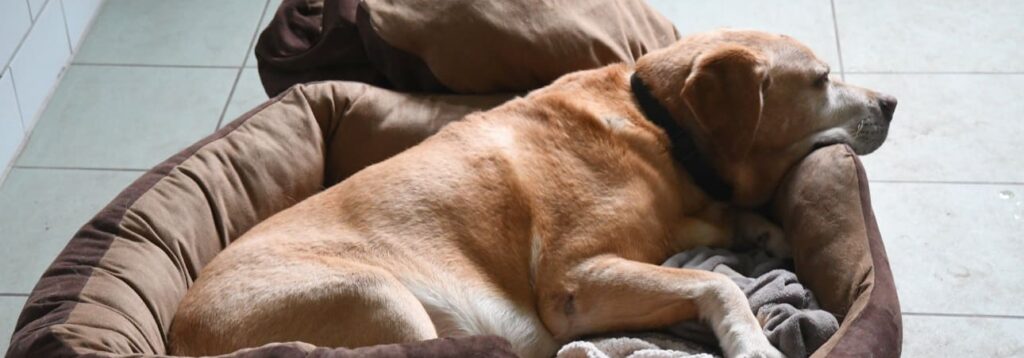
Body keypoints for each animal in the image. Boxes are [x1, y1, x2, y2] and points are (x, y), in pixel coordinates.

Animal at [169, 30, 897, 358]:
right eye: (821, 79)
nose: (891, 102)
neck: (659, 124)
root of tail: (175, 339)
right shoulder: (576, 281)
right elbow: (717, 282)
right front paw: (752, 342)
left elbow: (725, 230)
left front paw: (762, 231)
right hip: (378, 298)